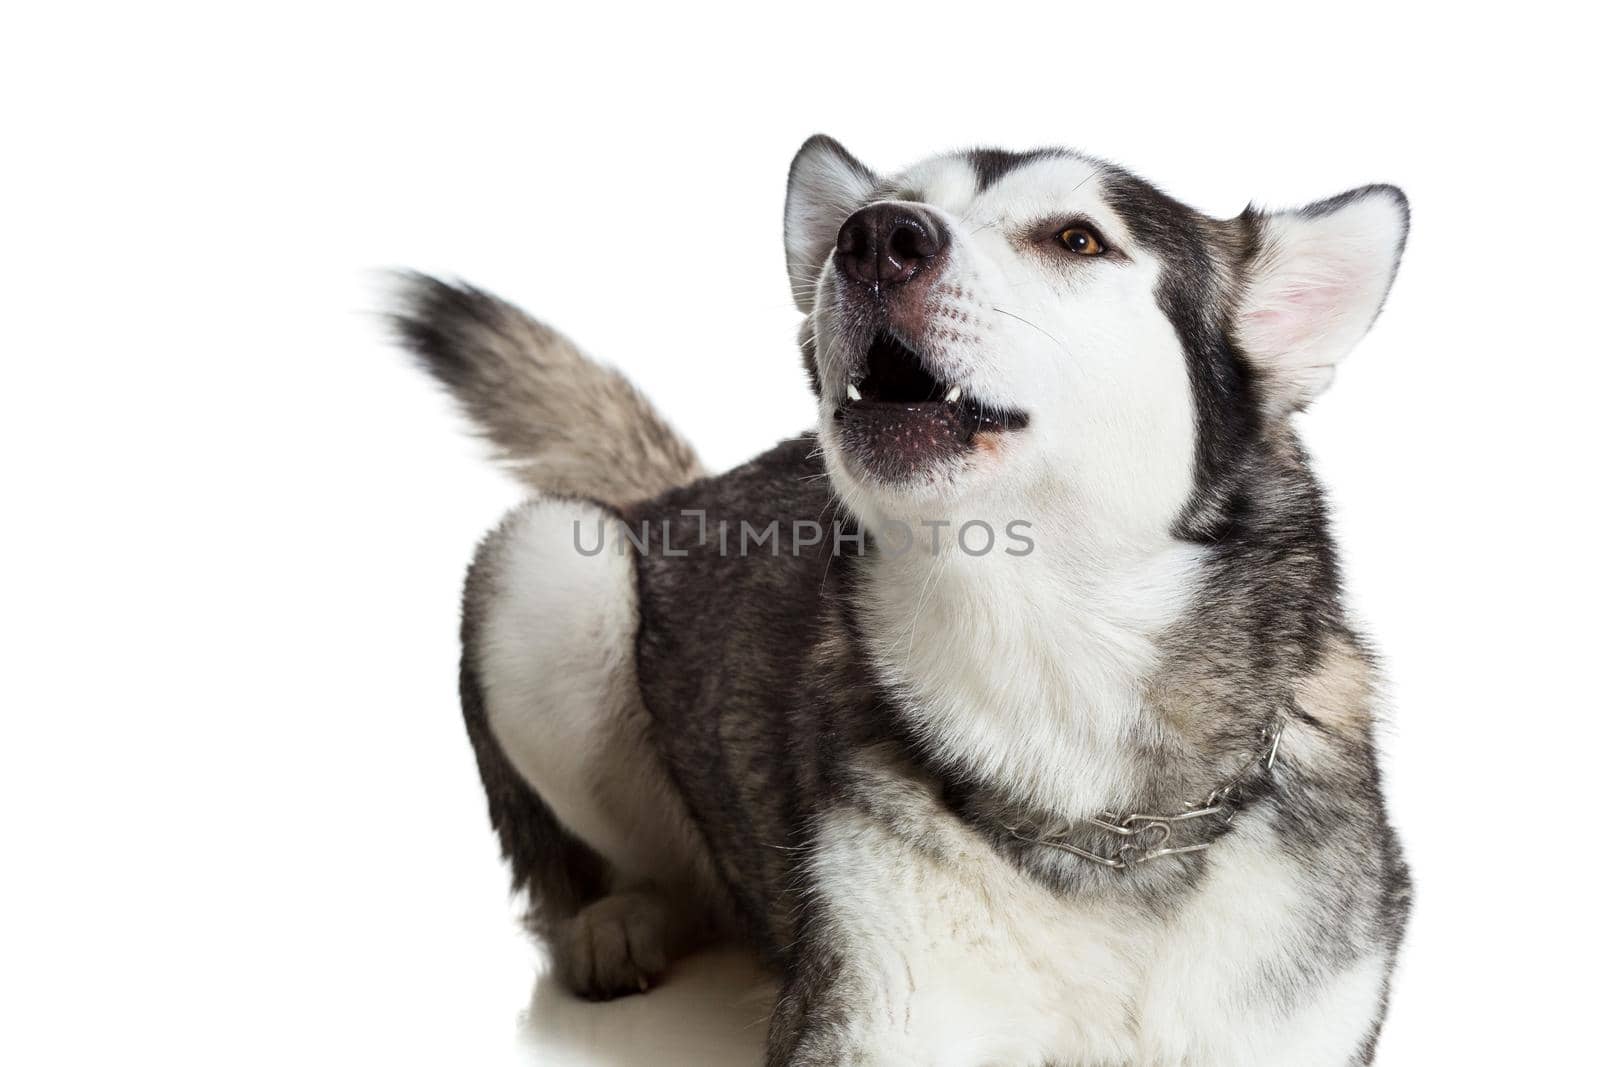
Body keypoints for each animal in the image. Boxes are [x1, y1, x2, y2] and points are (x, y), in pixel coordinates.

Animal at [396, 137, 1414, 1062]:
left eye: (1078, 239)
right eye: (888, 208)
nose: (875, 237)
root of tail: (684, 490)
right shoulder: (876, 1013)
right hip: (549, 567)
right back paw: (621, 919)